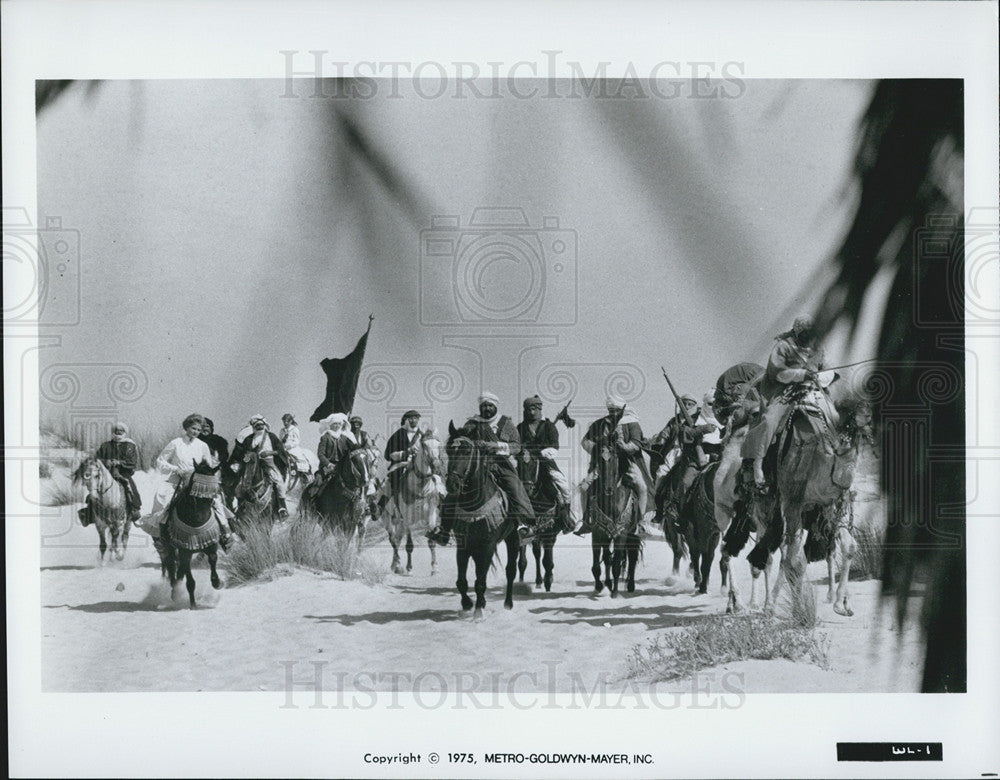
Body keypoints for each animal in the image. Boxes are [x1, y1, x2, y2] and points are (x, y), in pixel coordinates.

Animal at [162, 460, 225, 608]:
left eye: (211, 497)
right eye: (194, 496)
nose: (199, 518)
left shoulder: (211, 543)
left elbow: (213, 558)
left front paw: (217, 582)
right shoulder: (184, 550)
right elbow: (190, 581)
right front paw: (193, 604)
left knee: (179, 569)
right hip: (171, 547)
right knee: (172, 566)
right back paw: (175, 591)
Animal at [382, 430, 446, 576]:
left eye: (439, 444)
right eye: (424, 445)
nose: (437, 467)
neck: (420, 487)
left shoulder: (431, 515)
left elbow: (432, 541)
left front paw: (435, 568)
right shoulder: (407, 520)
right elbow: (409, 545)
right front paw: (409, 568)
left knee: (397, 540)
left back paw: (395, 565)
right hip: (389, 519)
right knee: (393, 540)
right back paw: (398, 565)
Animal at [448, 420, 520, 620]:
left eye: (466, 451)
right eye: (448, 451)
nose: (452, 484)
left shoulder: (487, 544)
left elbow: (480, 581)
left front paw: (478, 611)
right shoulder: (464, 545)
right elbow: (462, 581)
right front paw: (467, 604)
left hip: (513, 538)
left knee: (510, 571)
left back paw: (508, 604)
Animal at [584, 448, 640, 596]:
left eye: (615, 459)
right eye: (599, 460)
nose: (608, 489)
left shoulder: (621, 534)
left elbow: (616, 564)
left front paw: (614, 592)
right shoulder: (597, 534)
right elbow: (598, 564)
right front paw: (599, 585)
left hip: (633, 534)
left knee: (632, 556)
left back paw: (630, 585)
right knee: (607, 557)